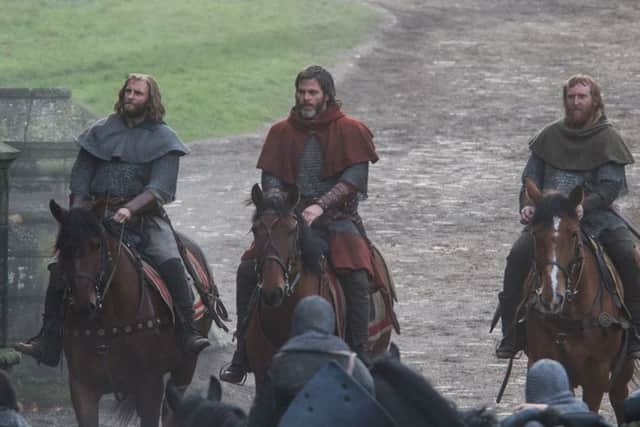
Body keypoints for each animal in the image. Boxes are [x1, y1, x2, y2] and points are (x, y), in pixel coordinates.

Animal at [48, 201, 222, 427]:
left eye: (97, 245)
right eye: (63, 248)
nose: (83, 305)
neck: (107, 321)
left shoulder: (150, 385)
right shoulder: (82, 388)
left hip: (185, 367)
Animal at [524, 178, 632, 424]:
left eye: (573, 234)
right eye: (535, 234)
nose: (552, 297)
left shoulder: (597, 374)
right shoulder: (542, 362)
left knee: (620, 398)